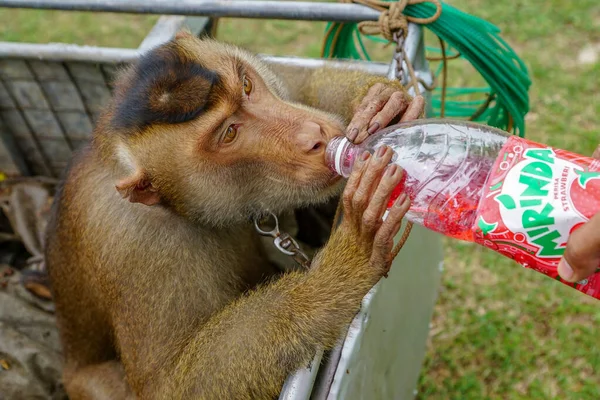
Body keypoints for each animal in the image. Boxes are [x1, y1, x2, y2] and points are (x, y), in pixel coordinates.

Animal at [44, 32, 424, 400]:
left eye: (247, 85)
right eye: (229, 133)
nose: (313, 137)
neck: (176, 204)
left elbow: (297, 83)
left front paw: (379, 99)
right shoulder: (141, 245)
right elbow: (169, 387)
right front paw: (341, 268)